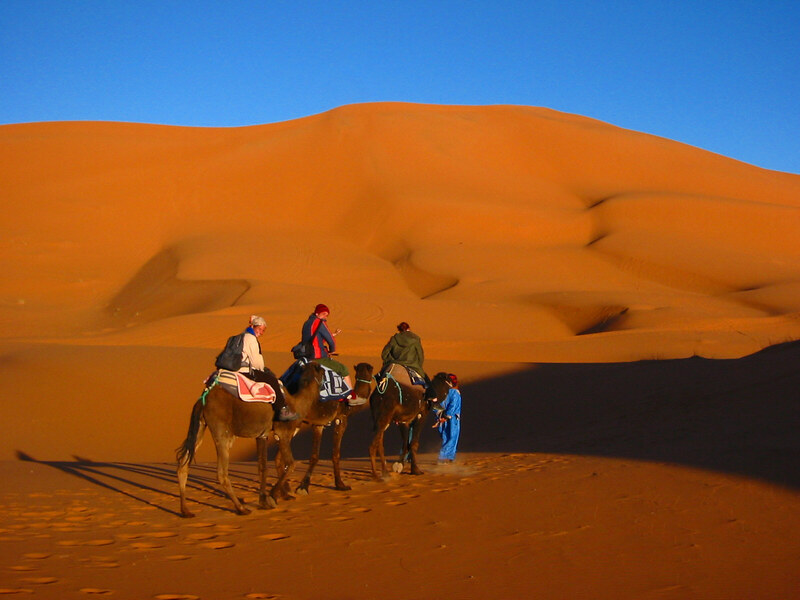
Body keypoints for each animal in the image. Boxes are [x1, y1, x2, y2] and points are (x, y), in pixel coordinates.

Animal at [176, 358, 324, 516]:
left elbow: (262, 468)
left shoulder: (262, 435)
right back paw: (241, 508)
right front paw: (271, 497)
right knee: (221, 473)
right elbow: (290, 464)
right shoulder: (283, 432)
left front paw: (264, 501)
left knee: (183, 464)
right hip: (221, 429)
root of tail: (202, 400)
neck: (297, 404)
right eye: (321, 370)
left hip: (200, 425)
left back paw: (185, 510)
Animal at [276, 360, 376, 496]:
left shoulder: (319, 423)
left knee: (279, 456)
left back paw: (284, 490)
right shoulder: (341, 418)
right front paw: (340, 485)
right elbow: (335, 453)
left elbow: (314, 455)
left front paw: (302, 486)